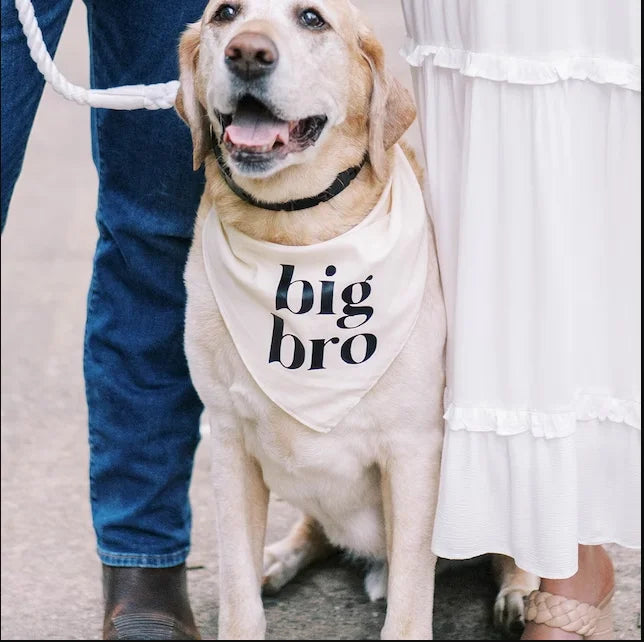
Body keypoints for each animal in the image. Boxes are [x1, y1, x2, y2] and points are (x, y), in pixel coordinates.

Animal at [175, 2, 540, 636]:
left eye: (312, 18)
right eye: (226, 13)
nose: (247, 53)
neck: (296, 235)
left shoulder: (414, 449)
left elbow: (411, 593)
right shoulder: (228, 443)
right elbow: (237, 587)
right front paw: (251, 584)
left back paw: (520, 591)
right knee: (313, 533)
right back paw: (278, 558)